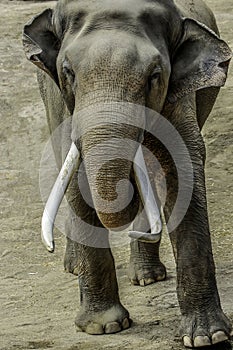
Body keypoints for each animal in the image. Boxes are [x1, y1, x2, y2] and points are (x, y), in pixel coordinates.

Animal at [22, 0, 233, 348]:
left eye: (154, 76)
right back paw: (75, 266)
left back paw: (147, 276)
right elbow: (77, 179)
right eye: (69, 72)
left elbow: (183, 169)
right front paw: (103, 327)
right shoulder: (63, 101)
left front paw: (208, 336)